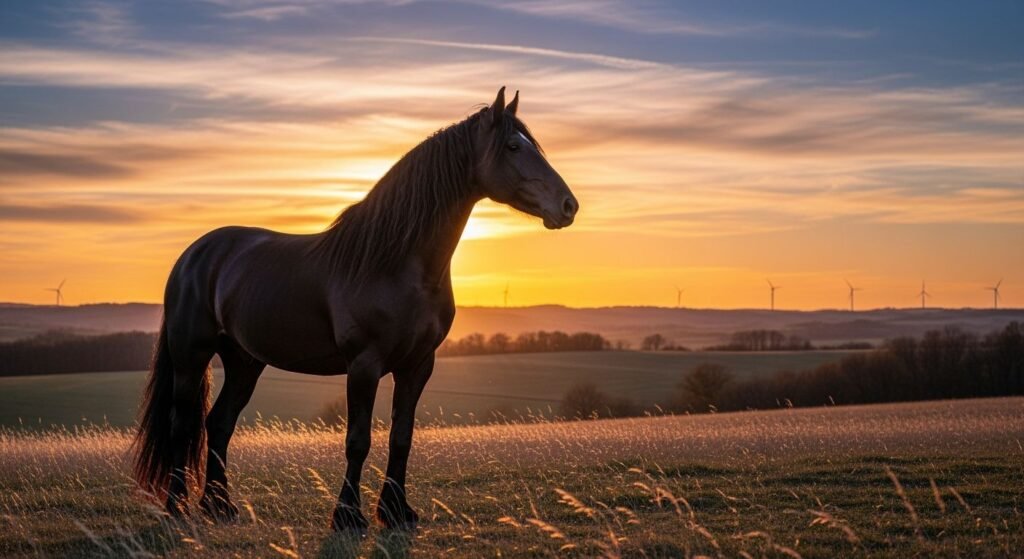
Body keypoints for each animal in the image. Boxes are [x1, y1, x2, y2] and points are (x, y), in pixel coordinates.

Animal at [131, 87, 578, 533]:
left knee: (219, 423)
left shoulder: (418, 365)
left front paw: (397, 512)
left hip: (244, 361)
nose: (568, 206)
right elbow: (357, 440)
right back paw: (177, 507)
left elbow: (401, 437)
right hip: (191, 357)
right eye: (513, 146)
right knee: (181, 424)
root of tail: (195, 254)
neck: (394, 264)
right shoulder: (364, 364)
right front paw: (348, 515)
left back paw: (220, 506)